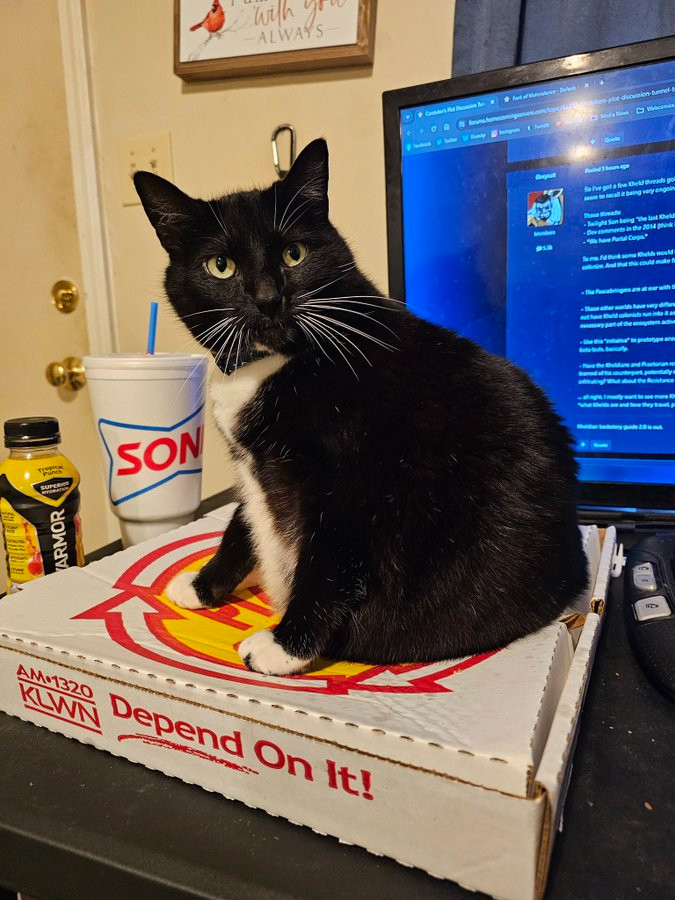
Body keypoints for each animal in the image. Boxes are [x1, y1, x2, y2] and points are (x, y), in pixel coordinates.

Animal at [133, 139, 588, 676]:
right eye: (219, 266)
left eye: (294, 254)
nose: (268, 298)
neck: (268, 366)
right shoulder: (252, 467)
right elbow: (241, 523)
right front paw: (204, 585)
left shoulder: (353, 477)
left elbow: (331, 557)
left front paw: (285, 645)